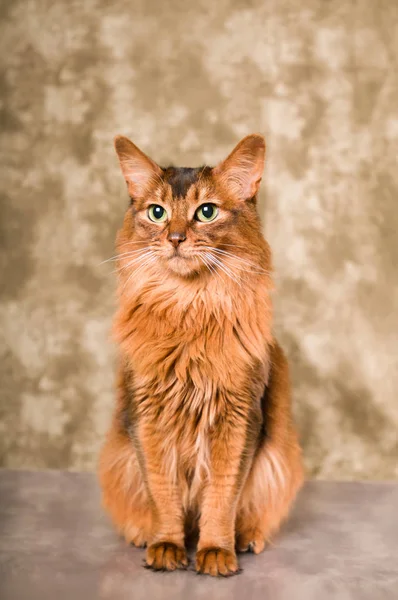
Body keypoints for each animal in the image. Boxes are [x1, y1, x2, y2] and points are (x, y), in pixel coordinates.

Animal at [98, 132, 302, 576]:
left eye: (206, 212)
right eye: (157, 213)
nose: (175, 238)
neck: (189, 307)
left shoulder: (240, 417)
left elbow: (222, 497)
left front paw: (215, 551)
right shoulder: (146, 417)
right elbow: (163, 493)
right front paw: (166, 545)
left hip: (278, 462)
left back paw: (246, 538)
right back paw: (142, 534)